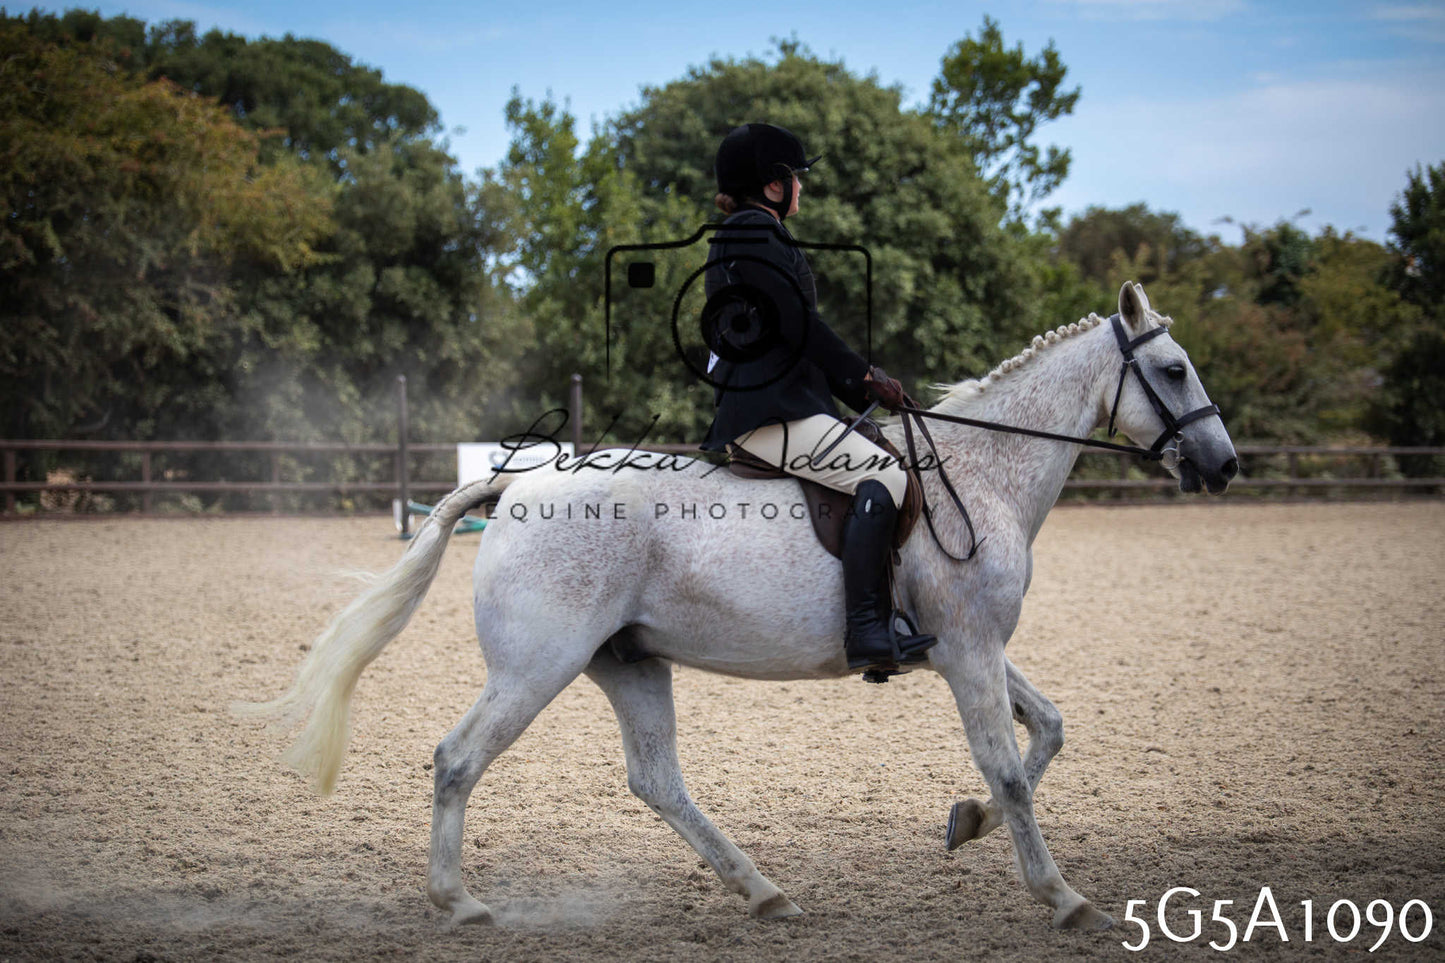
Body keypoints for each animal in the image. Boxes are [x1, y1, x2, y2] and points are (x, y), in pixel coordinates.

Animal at [235, 281, 1238, 931]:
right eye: (1174, 370)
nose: (1224, 466)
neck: (981, 473)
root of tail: (518, 484)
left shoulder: (967, 645)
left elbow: (1049, 730)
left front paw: (968, 824)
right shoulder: (967, 649)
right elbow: (1010, 767)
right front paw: (1061, 896)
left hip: (627, 662)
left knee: (656, 779)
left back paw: (763, 891)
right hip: (536, 666)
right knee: (458, 758)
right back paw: (460, 902)